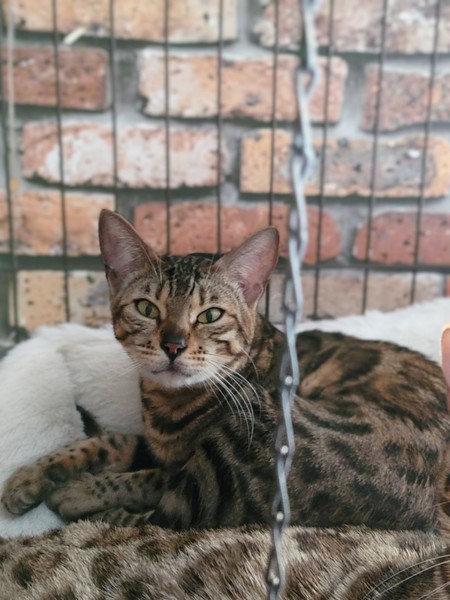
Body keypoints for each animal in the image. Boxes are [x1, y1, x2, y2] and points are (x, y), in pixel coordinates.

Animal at [1, 209, 449, 534]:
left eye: (210, 315)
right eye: (147, 308)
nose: (173, 345)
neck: (165, 407)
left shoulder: (178, 465)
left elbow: (140, 478)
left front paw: (75, 490)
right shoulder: (155, 446)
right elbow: (107, 443)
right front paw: (28, 478)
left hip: (248, 449)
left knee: (161, 513)